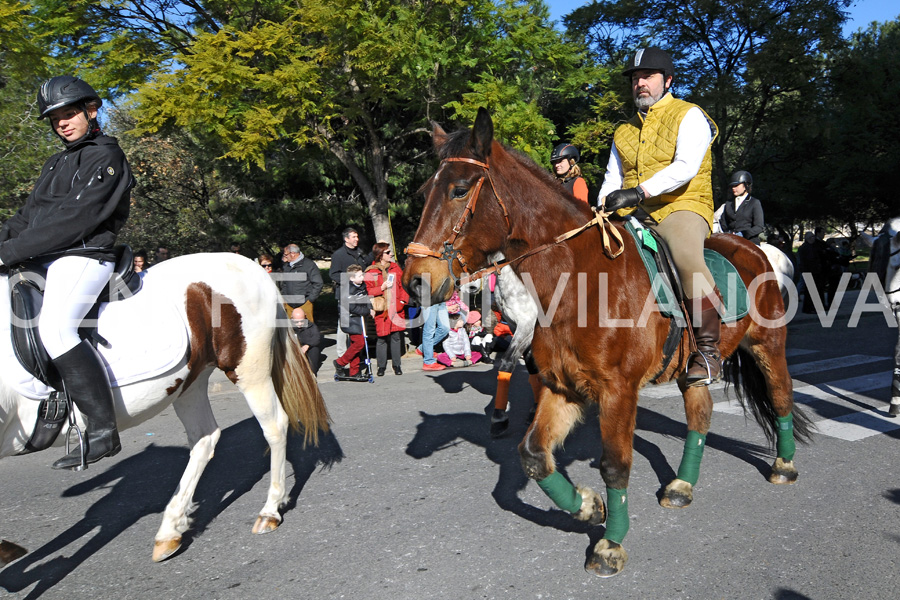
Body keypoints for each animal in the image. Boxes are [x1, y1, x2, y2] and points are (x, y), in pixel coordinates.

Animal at [404, 108, 812, 576]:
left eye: (459, 190)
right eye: (424, 192)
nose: (416, 282)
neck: (579, 280)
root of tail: (759, 249)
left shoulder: (618, 390)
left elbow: (615, 465)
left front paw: (610, 543)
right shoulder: (563, 386)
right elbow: (533, 454)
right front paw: (587, 506)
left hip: (768, 347)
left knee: (781, 397)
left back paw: (784, 464)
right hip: (691, 370)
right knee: (700, 413)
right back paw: (681, 484)